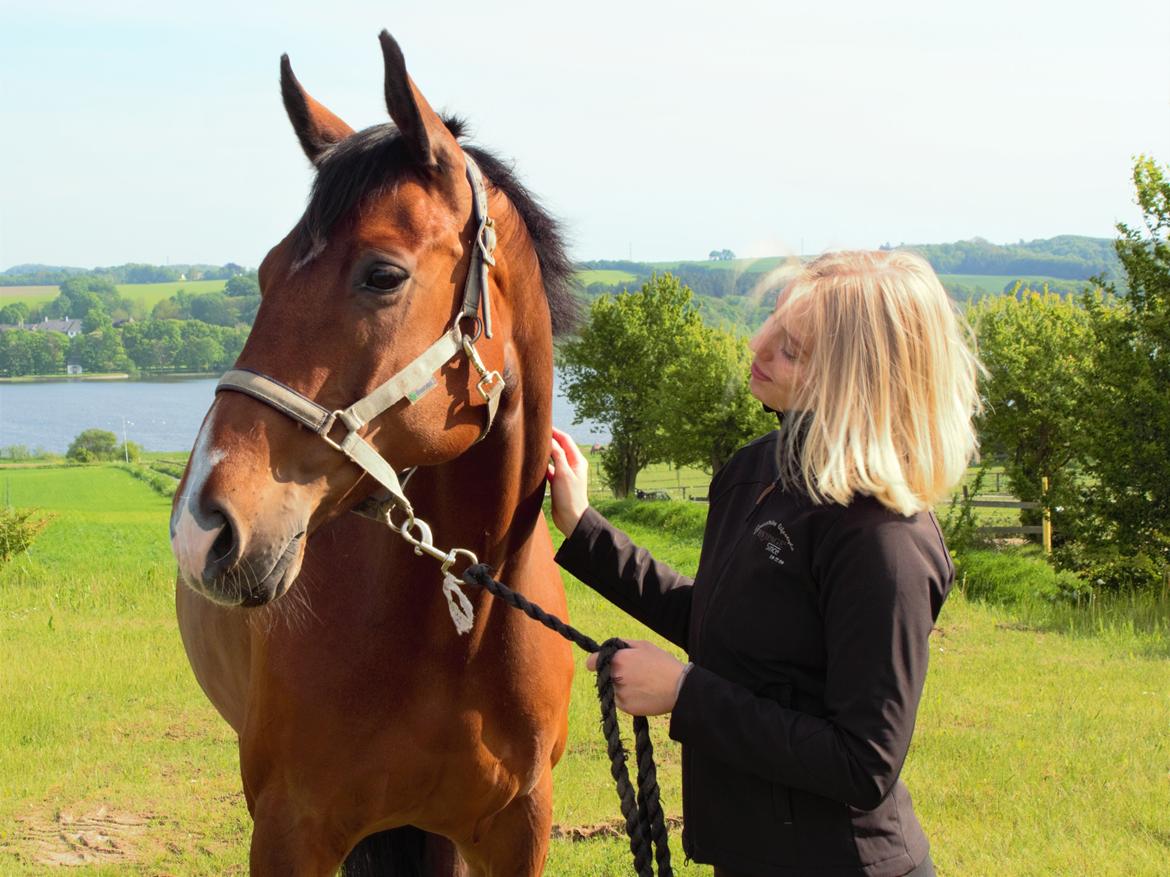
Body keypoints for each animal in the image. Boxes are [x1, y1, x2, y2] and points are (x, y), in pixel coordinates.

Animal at [168, 30, 575, 874]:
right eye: (262, 272)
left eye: (382, 274)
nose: (202, 526)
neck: (457, 632)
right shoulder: (289, 830)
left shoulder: (518, 830)